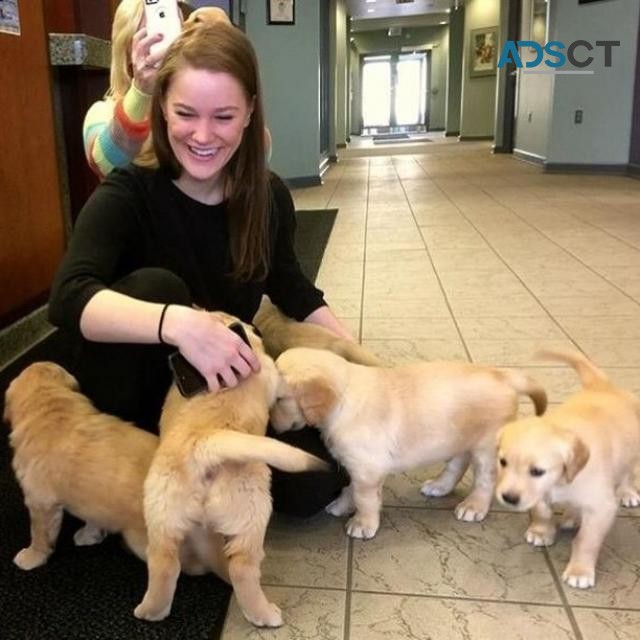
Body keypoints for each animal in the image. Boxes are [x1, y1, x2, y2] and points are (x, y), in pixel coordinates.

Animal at [1, 362, 228, 576]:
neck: (51, 409)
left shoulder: (40, 502)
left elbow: (39, 535)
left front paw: (31, 557)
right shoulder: (92, 498)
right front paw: (90, 534)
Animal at [133, 318, 328, 628]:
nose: (254, 328)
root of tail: (205, 445)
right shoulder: (269, 373)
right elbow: (279, 379)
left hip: (162, 516)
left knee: (163, 562)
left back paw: (151, 610)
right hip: (252, 511)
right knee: (242, 568)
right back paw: (264, 614)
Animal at [270, 348, 544, 536]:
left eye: (279, 399)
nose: (270, 425)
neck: (343, 398)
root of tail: (503, 375)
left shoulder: (367, 469)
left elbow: (364, 498)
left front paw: (362, 524)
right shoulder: (355, 466)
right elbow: (350, 488)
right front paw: (342, 505)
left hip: (486, 447)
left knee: (485, 480)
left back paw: (474, 506)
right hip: (459, 438)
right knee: (457, 464)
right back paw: (439, 486)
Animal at [496, 350, 640, 592]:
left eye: (537, 471)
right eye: (503, 462)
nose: (508, 498)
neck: (560, 481)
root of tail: (602, 385)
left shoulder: (601, 507)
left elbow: (586, 540)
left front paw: (579, 571)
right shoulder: (541, 494)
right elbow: (542, 511)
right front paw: (541, 531)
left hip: (633, 452)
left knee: (629, 472)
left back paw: (628, 493)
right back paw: (572, 516)